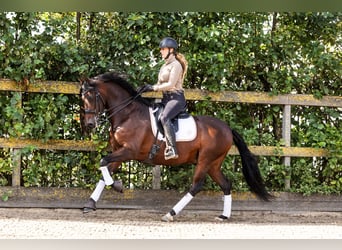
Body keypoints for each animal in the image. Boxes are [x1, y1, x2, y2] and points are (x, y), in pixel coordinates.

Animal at [80, 71, 272, 222]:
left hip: (205, 160)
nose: (89, 124)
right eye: (82, 98)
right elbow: (105, 170)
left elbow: (103, 163)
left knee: (196, 186)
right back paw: (224, 216)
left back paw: (170, 213)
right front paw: (90, 203)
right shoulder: (119, 151)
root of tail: (227, 128)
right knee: (225, 184)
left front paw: (118, 186)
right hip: (213, 164)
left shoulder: (129, 151)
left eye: (90, 96)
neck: (127, 115)